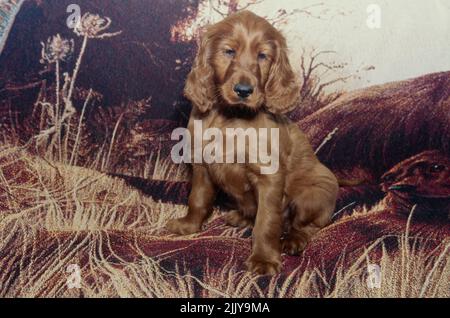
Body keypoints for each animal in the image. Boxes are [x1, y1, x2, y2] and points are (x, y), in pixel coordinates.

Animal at [167, 11, 340, 276]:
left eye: (262, 55)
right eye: (229, 51)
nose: (244, 90)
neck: (232, 117)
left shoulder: (269, 176)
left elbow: (267, 220)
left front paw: (264, 259)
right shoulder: (201, 164)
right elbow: (198, 198)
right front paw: (189, 226)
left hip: (313, 194)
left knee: (309, 225)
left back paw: (293, 239)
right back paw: (241, 217)